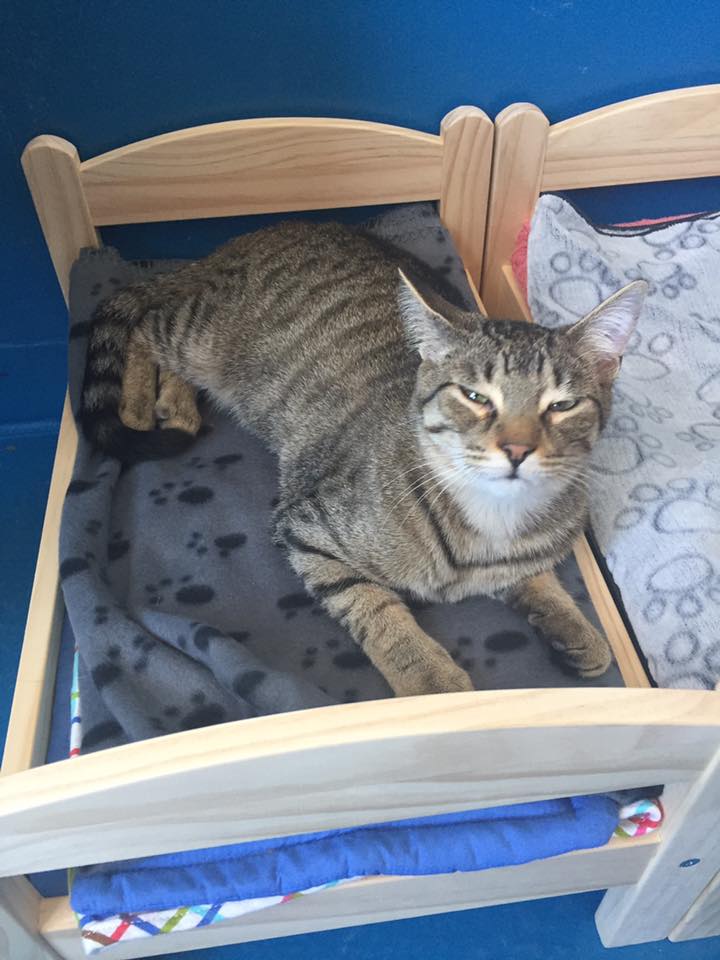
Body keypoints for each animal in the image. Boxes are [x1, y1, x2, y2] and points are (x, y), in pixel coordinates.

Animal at [80, 221, 647, 696]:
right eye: (475, 397)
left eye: (562, 405)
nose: (517, 448)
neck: (491, 522)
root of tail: (250, 235)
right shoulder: (306, 528)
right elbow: (373, 606)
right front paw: (429, 679)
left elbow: (537, 577)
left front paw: (571, 624)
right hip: (201, 337)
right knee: (145, 325)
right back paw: (140, 404)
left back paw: (175, 404)